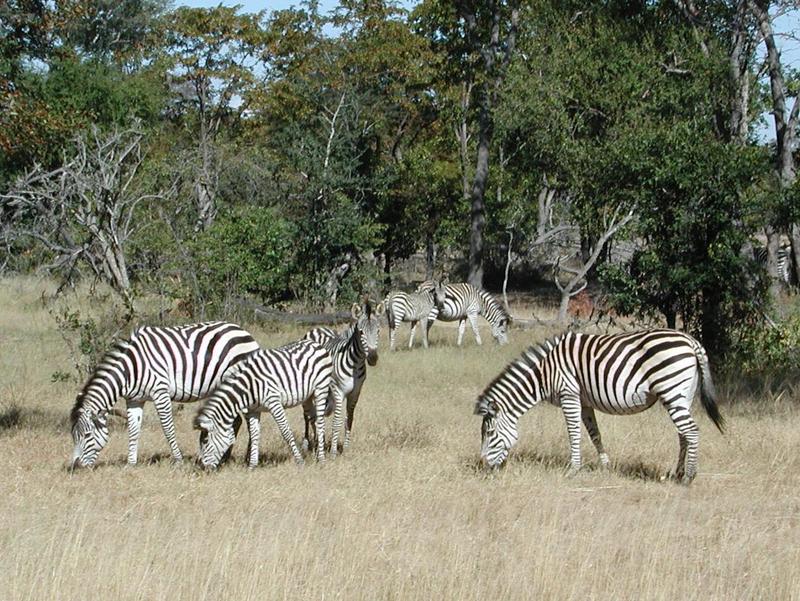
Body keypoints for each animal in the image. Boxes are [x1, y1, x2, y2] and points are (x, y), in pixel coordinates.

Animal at [70, 324, 260, 468]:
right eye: (73, 436)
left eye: (87, 435)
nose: (76, 466)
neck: (130, 369)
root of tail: (241, 330)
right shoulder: (134, 400)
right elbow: (133, 430)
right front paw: (130, 464)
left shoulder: (160, 392)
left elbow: (167, 428)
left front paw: (178, 460)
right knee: (236, 420)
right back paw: (225, 458)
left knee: (250, 423)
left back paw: (248, 459)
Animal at [194, 338, 332, 468]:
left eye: (205, 441)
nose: (201, 466)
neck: (248, 387)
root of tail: (315, 344)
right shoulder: (253, 409)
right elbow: (254, 435)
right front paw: (252, 466)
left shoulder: (274, 402)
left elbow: (286, 432)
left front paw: (300, 461)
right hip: (308, 397)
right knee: (314, 420)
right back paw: (315, 451)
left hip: (321, 389)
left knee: (320, 423)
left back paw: (321, 459)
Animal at [304, 300, 384, 454]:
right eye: (361, 332)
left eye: (378, 331)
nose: (373, 358)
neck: (355, 363)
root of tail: (317, 329)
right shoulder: (338, 391)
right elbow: (337, 421)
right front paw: (333, 452)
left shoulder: (355, 393)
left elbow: (349, 420)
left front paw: (346, 449)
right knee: (308, 416)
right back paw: (309, 444)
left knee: (317, 416)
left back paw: (319, 442)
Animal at [476, 328, 724, 482]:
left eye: (489, 433)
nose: (483, 467)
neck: (545, 373)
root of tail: (691, 341)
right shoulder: (585, 402)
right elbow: (595, 434)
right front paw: (605, 466)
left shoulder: (569, 394)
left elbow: (574, 434)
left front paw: (572, 470)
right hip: (684, 395)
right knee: (683, 434)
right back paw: (676, 474)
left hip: (672, 390)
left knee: (691, 431)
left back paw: (689, 477)